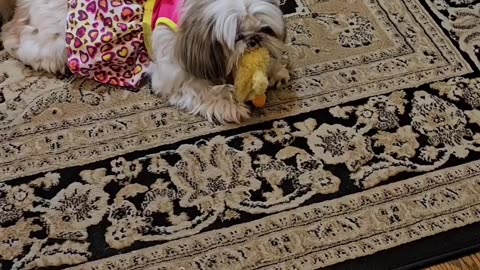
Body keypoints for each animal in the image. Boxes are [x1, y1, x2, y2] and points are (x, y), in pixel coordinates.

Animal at [0, 0, 288, 123]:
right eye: (238, 36)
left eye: (266, 30)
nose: (254, 40)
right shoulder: (173, 72)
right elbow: (202, 90)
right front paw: (227, 105)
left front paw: (273, 70)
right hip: (57, 44)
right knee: (14, 38)